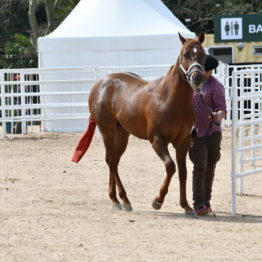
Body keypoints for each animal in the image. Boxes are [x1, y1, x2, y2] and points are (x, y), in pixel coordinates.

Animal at [72, 32, 207, 213]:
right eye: (186, 54)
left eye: (203, 54)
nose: (197, 77)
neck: (170, 99)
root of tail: (100, 83)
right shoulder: (157, 140)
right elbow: (170, 166)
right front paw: (158, 200)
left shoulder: (182, 142)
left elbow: (183, 172)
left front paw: (185, 206)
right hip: (107, 131)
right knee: (112, 162)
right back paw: (124, 200)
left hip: (122, 134)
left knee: (112, 160)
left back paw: (115, 199)